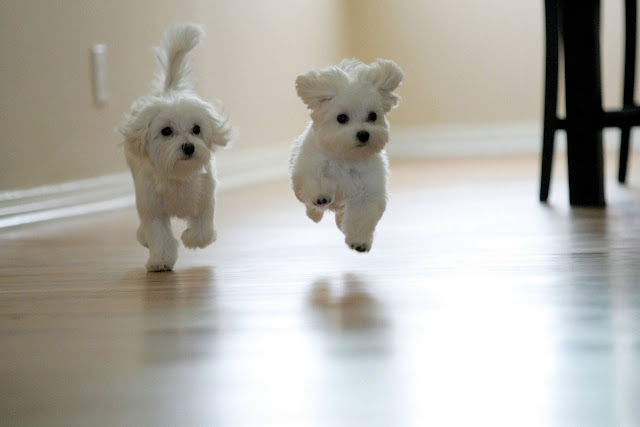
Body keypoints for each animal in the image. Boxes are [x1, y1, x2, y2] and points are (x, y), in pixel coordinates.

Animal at [120, 22, 232, 270]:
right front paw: (160, 260)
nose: (189, 147)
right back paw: (143, 237)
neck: (179, 175)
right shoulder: (152, 208)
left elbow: (203, 230)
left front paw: (191, 239)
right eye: (166, 131)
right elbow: (159, 235)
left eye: (197, 129)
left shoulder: (206, 198)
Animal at [292, 58, 402, 252]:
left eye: (372, 116)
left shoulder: (368, 192)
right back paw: (315, 213)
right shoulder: (310, 166)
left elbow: (361, 216)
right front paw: (321, 197)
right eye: (341, 118)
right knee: (308, 204)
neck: (347, 157)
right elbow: (316, 181)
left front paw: (359, 241)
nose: (363, 134)